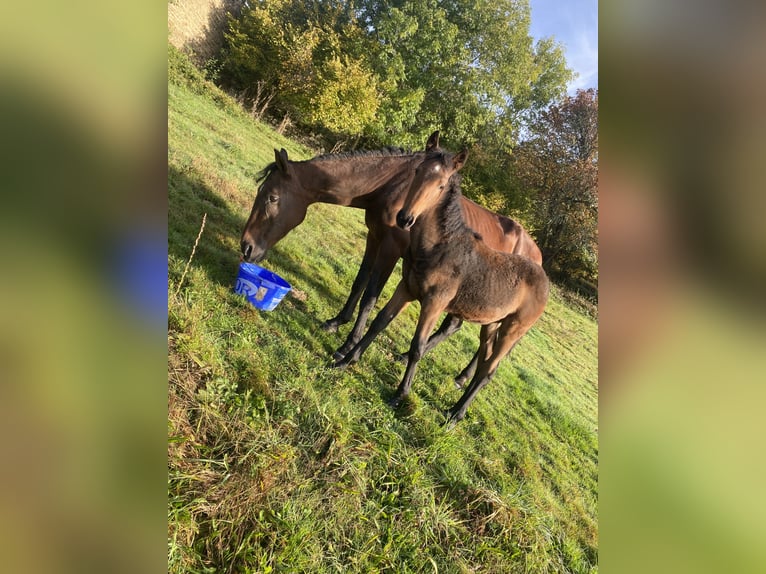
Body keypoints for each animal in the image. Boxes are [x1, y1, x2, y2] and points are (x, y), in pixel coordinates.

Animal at [238, 133, 540, 362]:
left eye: (273, 197)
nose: (247, 247)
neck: (390, 187)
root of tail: (536, 257)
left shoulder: (391, 248)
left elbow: (371, 295)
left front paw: (348, 346)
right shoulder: (374, 237)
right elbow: (359, 283)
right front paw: (336, 322)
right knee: (456, 327)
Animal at [332, 151, 548, 426]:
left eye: (441, 185)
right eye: (417, 171)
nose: (404, 218)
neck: (439, 247)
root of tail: (543, 276)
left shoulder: (434, 302)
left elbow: (417, 346)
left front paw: (400, 395)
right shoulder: (406, 288)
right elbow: (379, 321)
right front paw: (346, 359)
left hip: (513, 329)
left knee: (489, 370)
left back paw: (455, 414)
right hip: (491, 323)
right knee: (483, 361)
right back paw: (456, 403)